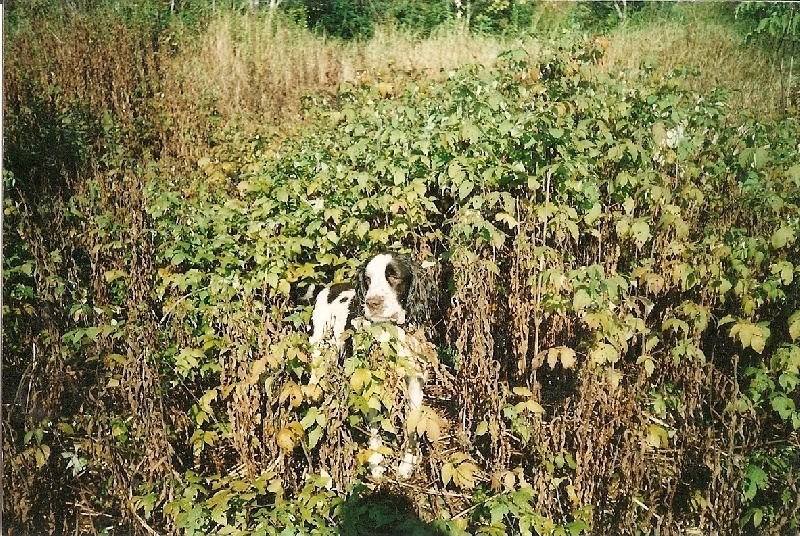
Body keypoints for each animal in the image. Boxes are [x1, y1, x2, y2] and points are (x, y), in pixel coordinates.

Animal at [308, 253, 434, 480]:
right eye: (368, 280)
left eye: (394, 276)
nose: (372, 303)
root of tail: (329, 288)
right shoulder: (369, 382)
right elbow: (374, 427)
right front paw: (376, 465)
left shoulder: (414, 381)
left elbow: (411, 424)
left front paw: (406, 464)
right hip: (320, 347)